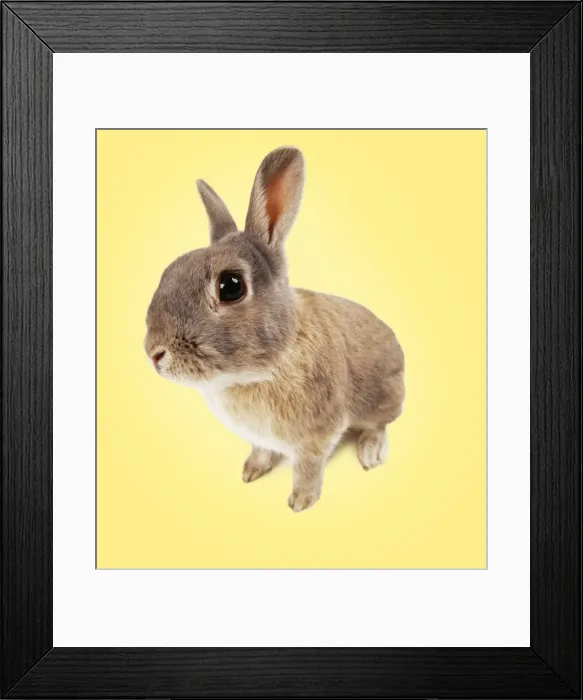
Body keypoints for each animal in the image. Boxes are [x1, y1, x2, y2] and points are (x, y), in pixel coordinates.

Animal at [144, 146, 405, 512]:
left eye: (231, 286)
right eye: (168, 271)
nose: (153, 352)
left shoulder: (316, 436)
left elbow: (308, 467)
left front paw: (301, 502)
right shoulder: (261, 437)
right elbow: (261, 450)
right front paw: (251, 471)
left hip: (382, 400)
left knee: (379, 425)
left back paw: (370, 452)